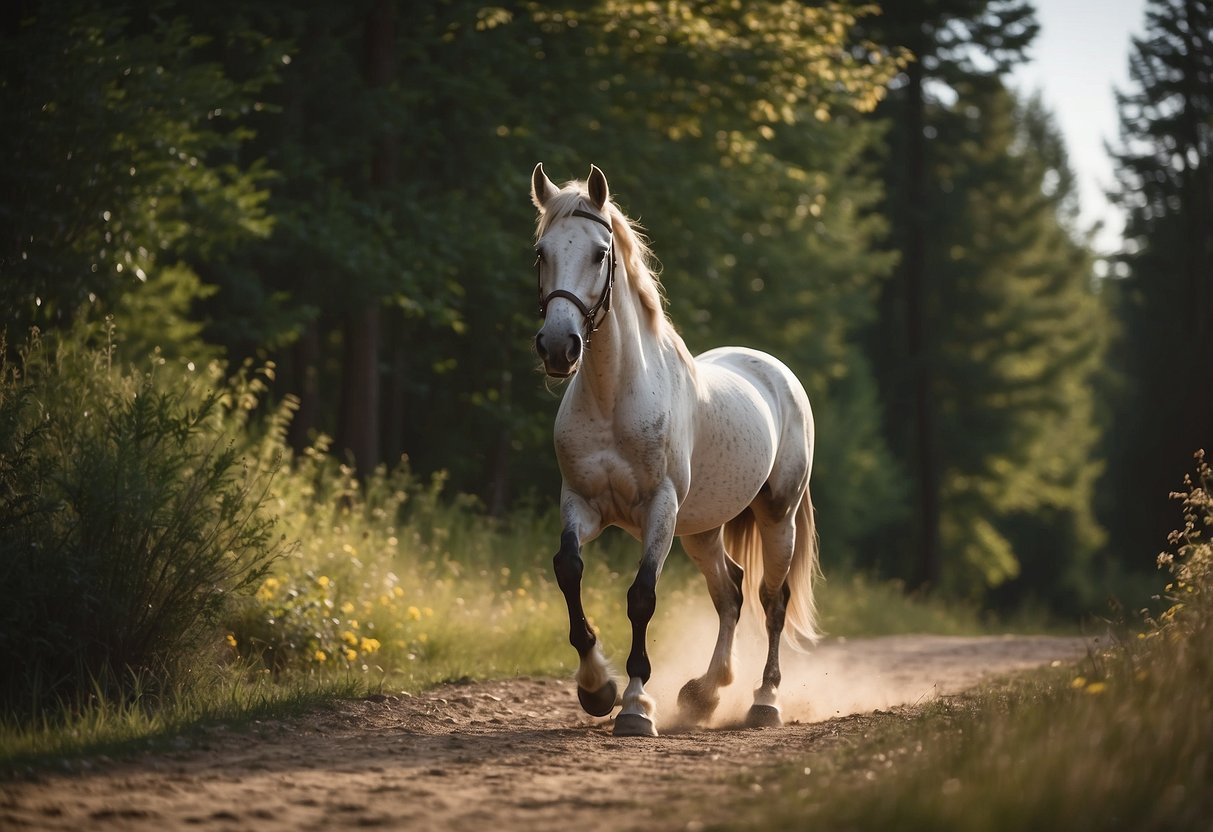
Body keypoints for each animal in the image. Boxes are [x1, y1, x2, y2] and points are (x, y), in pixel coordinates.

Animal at [528, 162, 819, 737]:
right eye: (541, 252)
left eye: (600, 253)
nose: (558, 348)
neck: (615, 396)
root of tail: (778, 373)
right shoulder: (582, 504)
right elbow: (568, 569)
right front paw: (596, 688)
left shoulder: (658, 510)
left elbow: (642, 596)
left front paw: (636, 704)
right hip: (702, 530)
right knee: (731, 592)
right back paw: (704, 694)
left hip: (778, 515)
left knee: (771, 600)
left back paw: (764, 701)